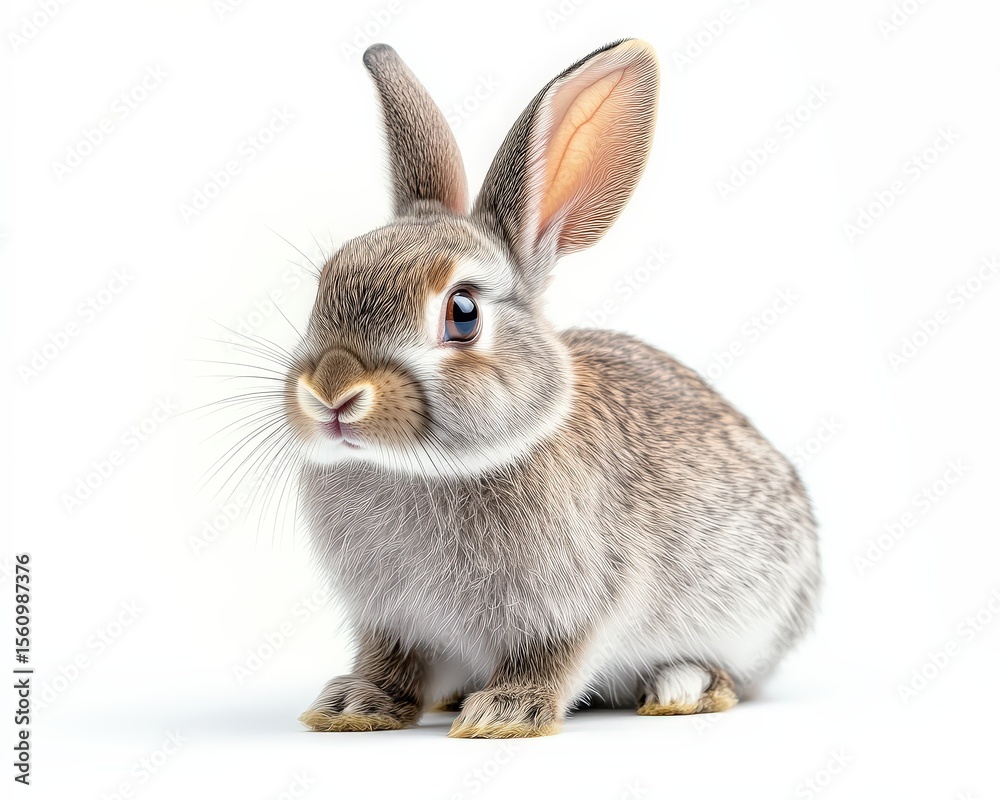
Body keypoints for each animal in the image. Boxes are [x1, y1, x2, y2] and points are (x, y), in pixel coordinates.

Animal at [284, 38, 820, 738]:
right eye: (322, 288)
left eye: (462, 312)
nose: (331, 392)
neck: (423, 468)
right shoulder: (389, 619)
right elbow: (389, 661)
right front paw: (354, 705)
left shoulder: (578, 601)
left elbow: (554, 657)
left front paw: (506, 714)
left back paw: (682, 686)